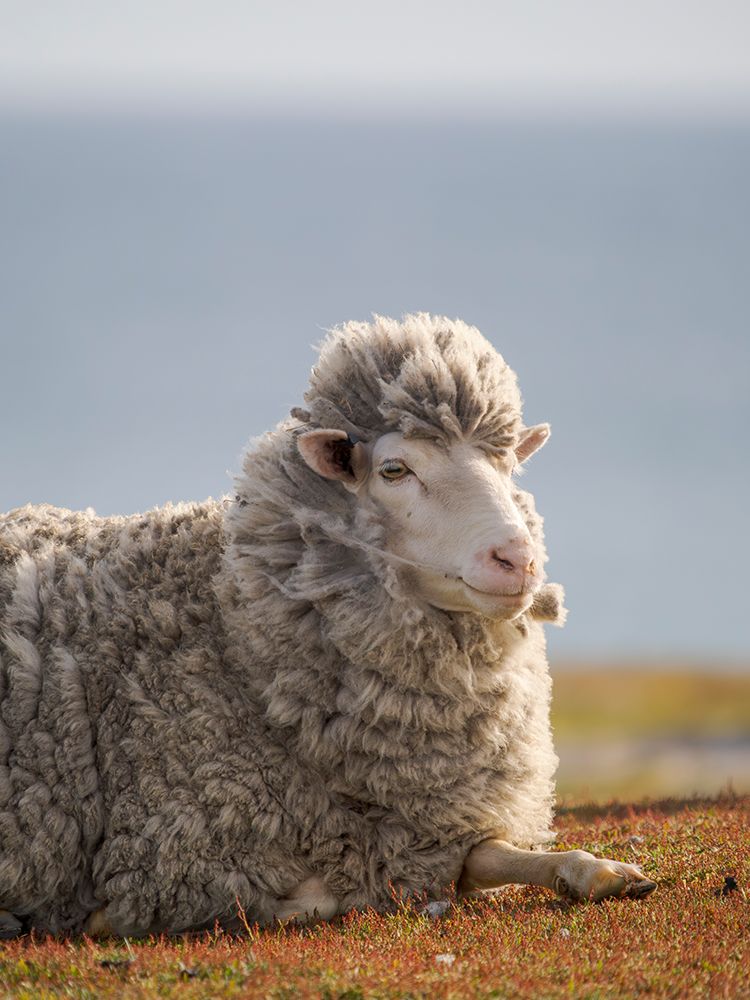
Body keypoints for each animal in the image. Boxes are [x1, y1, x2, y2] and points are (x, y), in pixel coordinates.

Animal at [0, 313, 656, 938]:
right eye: (394, 469)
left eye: (507, 466)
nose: (518, 560)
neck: (235, 638)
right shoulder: (174, 850)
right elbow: (315, 897)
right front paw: (97, 918)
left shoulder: (427, 826)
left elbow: (491, 854)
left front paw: (601, 870)